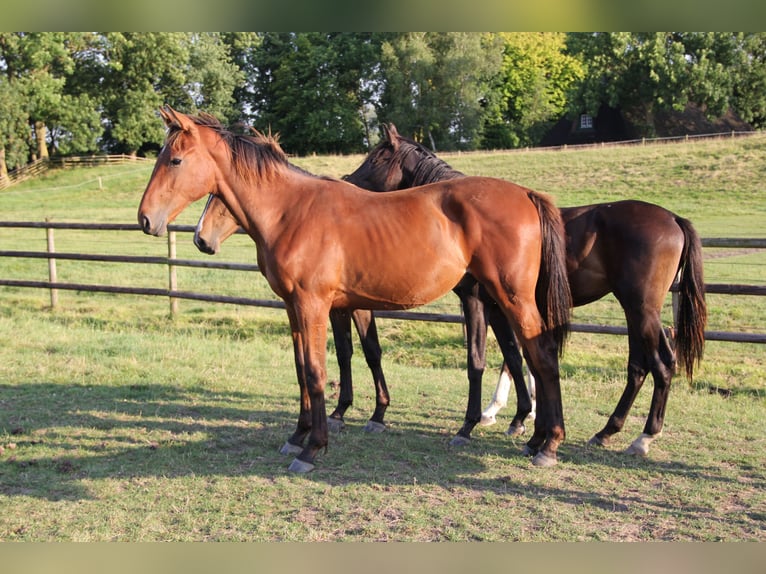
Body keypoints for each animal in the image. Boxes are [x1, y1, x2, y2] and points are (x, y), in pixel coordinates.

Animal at [138, 107, 572, 472]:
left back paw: (548, 445)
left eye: (175, 160)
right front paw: (298, 435)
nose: (145, 219)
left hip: (511, 298)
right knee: (532, 358)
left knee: (541, 357)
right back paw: (534, 440)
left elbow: (318, 371)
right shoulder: (294, 307)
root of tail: (527, 194)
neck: (291, 212)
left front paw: (313, 448)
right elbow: (302, 369)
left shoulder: (314, 305)